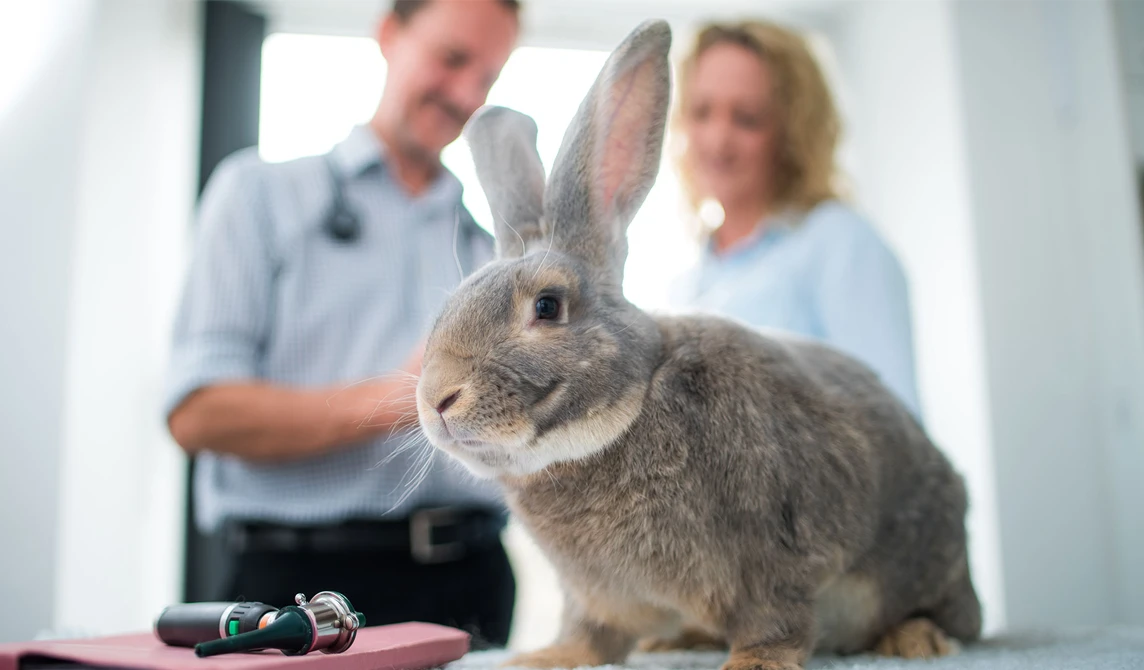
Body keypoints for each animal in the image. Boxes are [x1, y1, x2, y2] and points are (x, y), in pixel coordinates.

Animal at [415, 18, 982, 670]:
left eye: (548, 306)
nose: (436, 400)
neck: (632, 408)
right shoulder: (593, 596)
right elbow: (588, 634)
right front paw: (545, 657)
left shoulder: (773, 549)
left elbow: (774, 619)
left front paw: (754, 663)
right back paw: (679, 638)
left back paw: (914, 639)